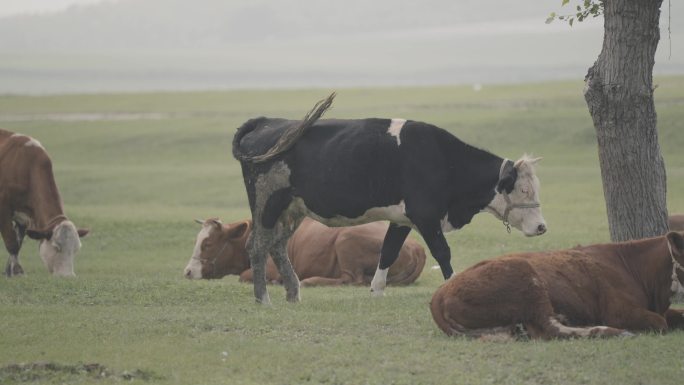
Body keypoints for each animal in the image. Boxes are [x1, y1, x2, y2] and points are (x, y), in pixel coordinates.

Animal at [0, 129, 89, 276]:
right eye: (56, 247)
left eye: (76, 249)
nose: (68, 276)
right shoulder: (4, 209)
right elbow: (12, 242)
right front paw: (17, 271)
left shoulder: (23, 217)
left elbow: (18, 242)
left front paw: (9, 272)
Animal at [184, 216, 424, 284]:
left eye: (208, 244)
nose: (187, 271)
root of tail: (417, 247)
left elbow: (244, 276)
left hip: (345, 239)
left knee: (351, 279)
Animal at [232, 93, 548, 304]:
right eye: (523, 190)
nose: (542, 227)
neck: (443, 160)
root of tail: (266, 122)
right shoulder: (426, 217)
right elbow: (443, 253)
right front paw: (452, 286)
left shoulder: (402, 220)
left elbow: (388, 251)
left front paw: (377, 289)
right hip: (267, 204)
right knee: (257, 246)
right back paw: (263, 299)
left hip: (291, 210)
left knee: (277, 246)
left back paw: (293, 294)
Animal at [430, 230, 684, 338]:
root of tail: (440, 294)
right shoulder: (620, 311)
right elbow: (660, 323)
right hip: (527, 281)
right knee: (551, 328)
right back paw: (611, 332)